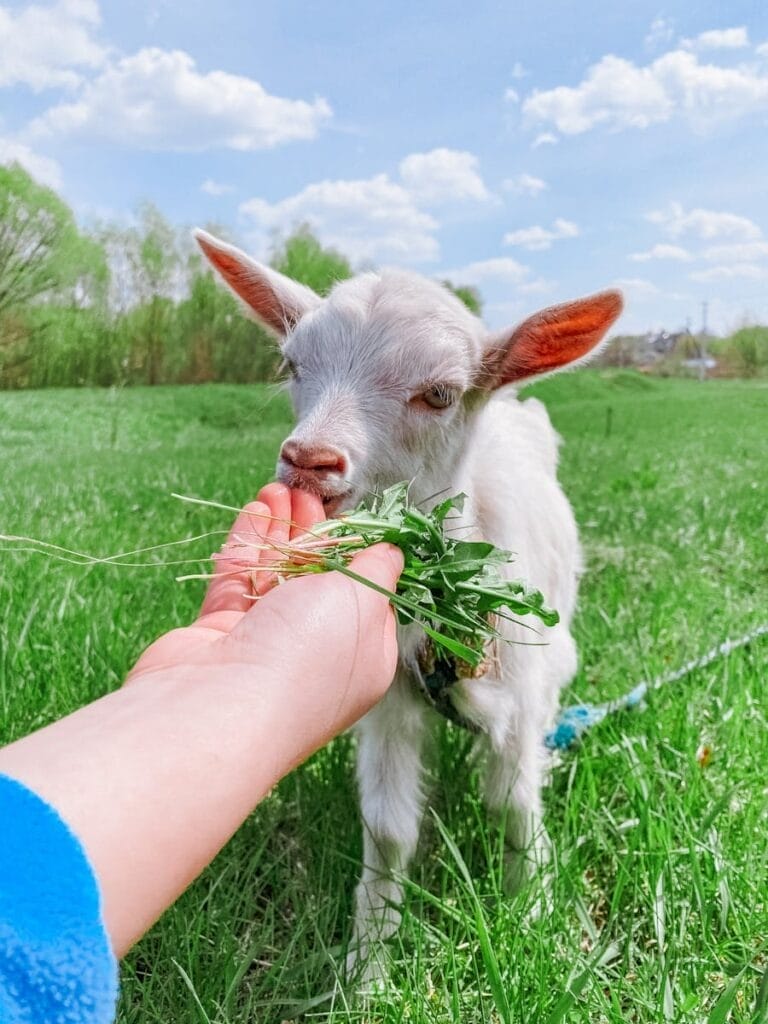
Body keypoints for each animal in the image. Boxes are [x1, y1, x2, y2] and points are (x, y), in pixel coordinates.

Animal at [193, 228, 626, 978]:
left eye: (440, 393)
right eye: (291, 363)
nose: (308, 460)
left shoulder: (522, 678)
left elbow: (514, 802)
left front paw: (531, 912)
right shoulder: (389, 695)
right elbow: (390, 827)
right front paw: (368, 963)